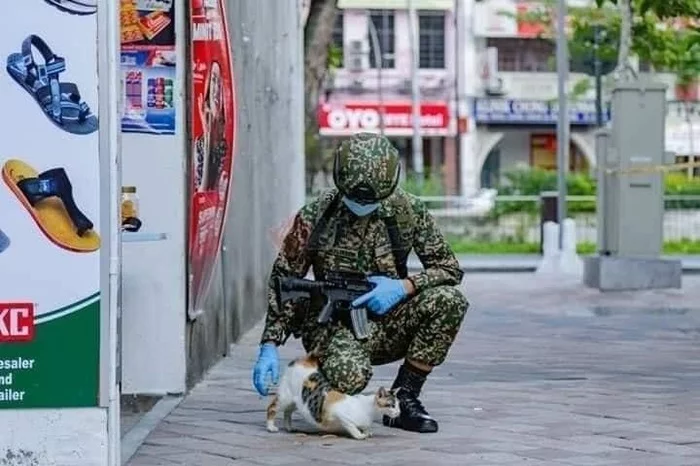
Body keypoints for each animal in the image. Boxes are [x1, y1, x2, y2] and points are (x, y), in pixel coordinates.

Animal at [266, 354, 400, 438]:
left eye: (399, 405)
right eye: (392, 405)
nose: (399, 412)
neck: (369, 410)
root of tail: (306, 360)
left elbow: (365, 428)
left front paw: (367, 432)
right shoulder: (341, 415)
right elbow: (352, 428)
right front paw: (360, 435)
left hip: (299, 401)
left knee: (287, 411)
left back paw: (289, 427)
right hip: (286, 396)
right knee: (272, 407)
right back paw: (271, 427)